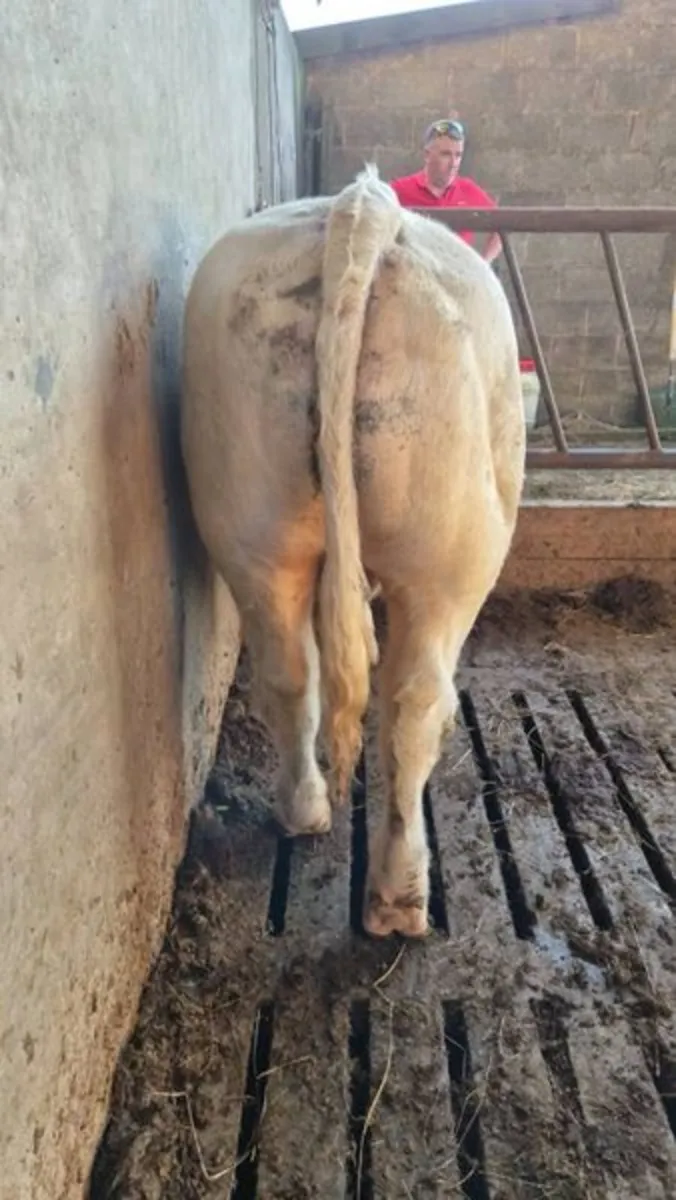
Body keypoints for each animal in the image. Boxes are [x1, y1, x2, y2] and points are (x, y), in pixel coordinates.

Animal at [181, 165, 525, 939]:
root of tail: (359, 208)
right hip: (450, 559)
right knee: (415, 699)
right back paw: (400, 897)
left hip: (249, 523)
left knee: (289, 672)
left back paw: (304, 812)